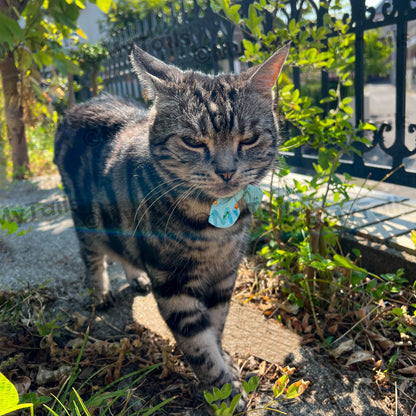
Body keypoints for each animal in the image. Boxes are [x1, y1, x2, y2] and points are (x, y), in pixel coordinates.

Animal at [53, 44, 290, 410]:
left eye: (248, 139)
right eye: (193, 141)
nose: (226, 171)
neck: (215, 226)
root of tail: (84, 101)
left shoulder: (225, 275)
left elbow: (216, 327)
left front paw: (226, 363)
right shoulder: (173, 284)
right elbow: (199, 346)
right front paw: (224, 392)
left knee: (124, 251)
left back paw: (135, 278)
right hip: (86, 221)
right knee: (93, 257)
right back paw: (101, 292)